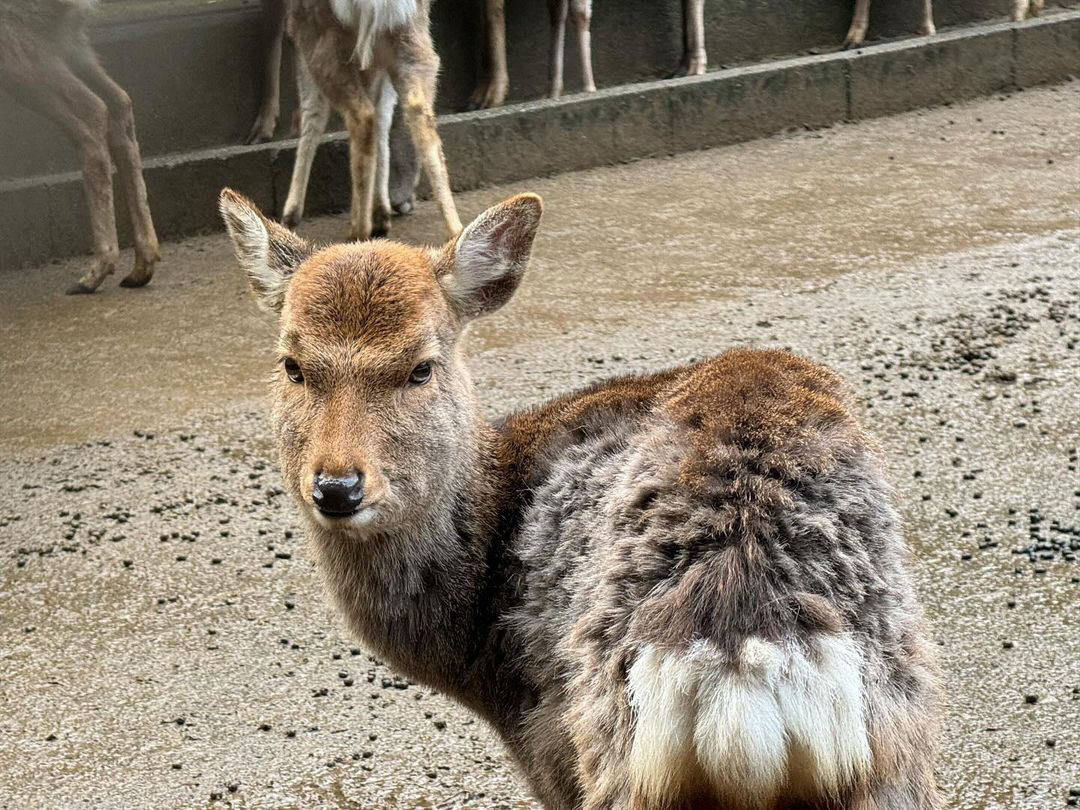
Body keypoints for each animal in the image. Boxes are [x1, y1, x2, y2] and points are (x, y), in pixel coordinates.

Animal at [0, 0, 159, 294]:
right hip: (70, 44)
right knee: (119, 102)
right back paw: (140, 267)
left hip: (19, 43)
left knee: (92, 109)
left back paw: (95, 272)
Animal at [220, 185, 943, 809]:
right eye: (293, 365)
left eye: (421, 366)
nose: (337, 486)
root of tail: (743, 633)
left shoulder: (543, 738)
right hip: (890, 736)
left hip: (611, 740)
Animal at [279, 0, 460, 241]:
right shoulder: (377, 56)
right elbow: (383, 115)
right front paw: (381, 214)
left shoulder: (298, 34)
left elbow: (312, 112)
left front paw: (290, 215)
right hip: (412, 36)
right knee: (418, 110)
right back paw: (455, 228)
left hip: (324, 40)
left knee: (362, 115)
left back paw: (358, 229)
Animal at [469, 0, 708, 109]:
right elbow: (556, 12)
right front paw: (553, 92)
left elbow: (578, 11)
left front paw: (588, 89)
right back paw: (685, 64)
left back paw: (695, 64)